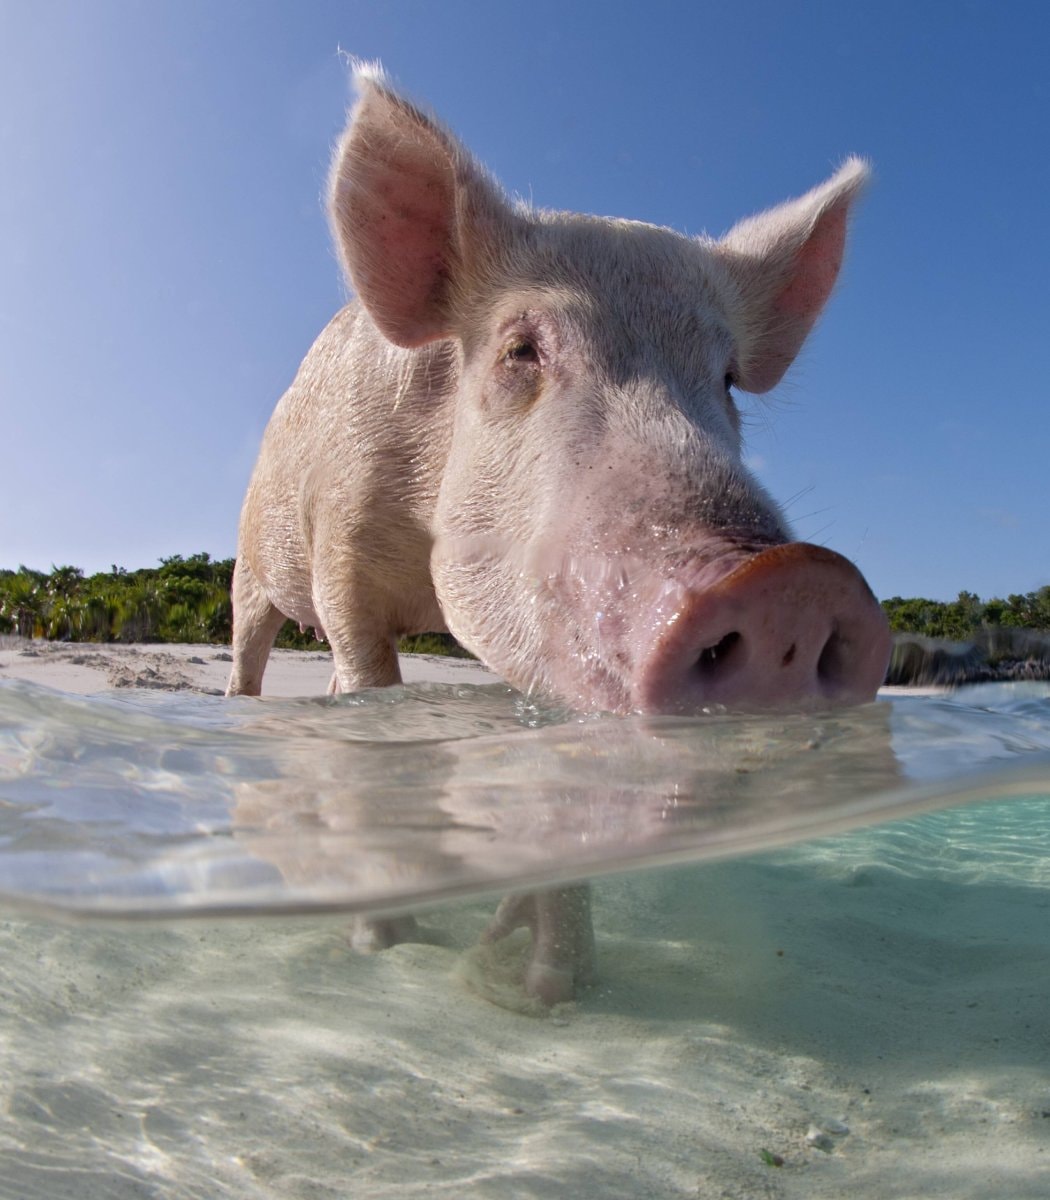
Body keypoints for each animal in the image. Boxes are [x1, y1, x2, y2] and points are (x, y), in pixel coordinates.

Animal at [228, 65, 891, 1002]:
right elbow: (372, 703)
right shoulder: (340, 555)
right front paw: (389, 946)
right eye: (521, 351)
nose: (794, 581)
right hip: (250, 568)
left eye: (727, 379)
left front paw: (547, 991)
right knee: (252, 660)